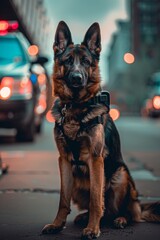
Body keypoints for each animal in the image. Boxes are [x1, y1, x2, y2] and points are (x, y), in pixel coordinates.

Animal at [41, 21, 160, 239]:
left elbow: (97, 199)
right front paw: (57, 224)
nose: (77, 78)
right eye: (68, 61)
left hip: (121, 176)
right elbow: (63, 200)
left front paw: (93, 229)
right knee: (102, 209)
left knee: (125, 212)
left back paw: (119, 219)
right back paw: (85, 217)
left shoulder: (95, 159)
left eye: (86, 62)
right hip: (78, 185)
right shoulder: (64, 160)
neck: (75, 106)